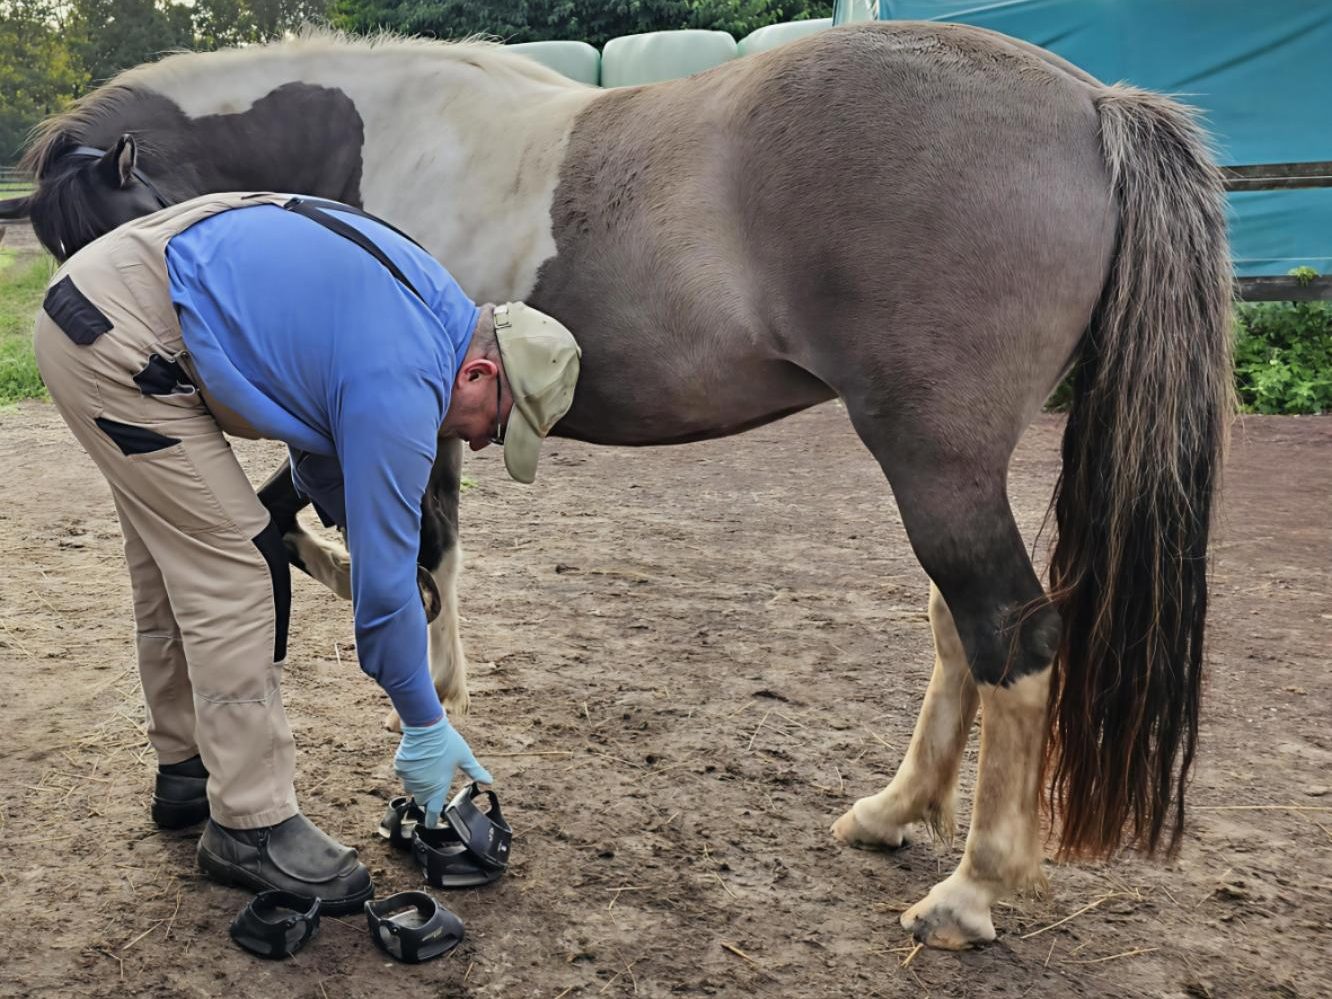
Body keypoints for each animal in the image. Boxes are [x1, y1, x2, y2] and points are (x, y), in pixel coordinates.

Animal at [2, 23, 1233, 949]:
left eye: (113, 232)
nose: (145, 378)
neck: (362, 143)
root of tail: (1093, 103)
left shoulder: (396, 416)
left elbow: (407, 561)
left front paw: (427, 729)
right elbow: (344, 537)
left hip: (934, 458)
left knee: (1014, 640)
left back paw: (968, 895)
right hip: (942, 465)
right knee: (960, 632)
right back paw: (890, 816)